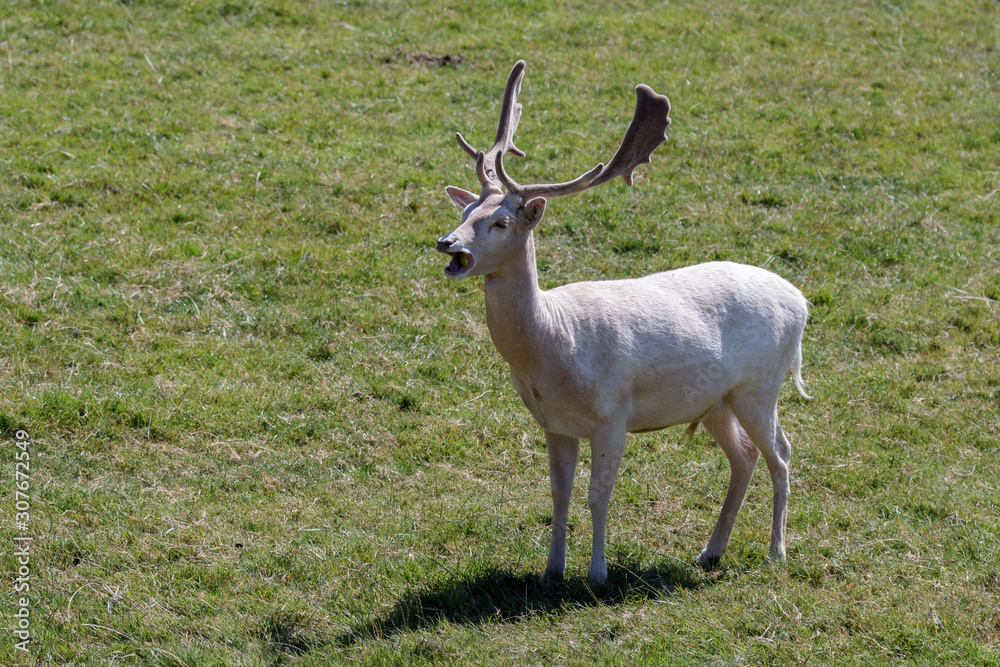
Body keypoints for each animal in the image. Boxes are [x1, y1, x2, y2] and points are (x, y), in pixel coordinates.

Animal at [434, 61, 808, 584]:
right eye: (467, 210)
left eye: (501, 223)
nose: (446, 243)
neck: (553, 347)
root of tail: (802, 303)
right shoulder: (555, 424)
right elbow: (559, 495)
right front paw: (551, 571)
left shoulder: (613, 415)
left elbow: (598, 496)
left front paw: (597, 575)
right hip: (717, 400)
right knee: (746, 457)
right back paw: (710, 551)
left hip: (761, 385)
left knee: (782, 454)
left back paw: (777, 552)